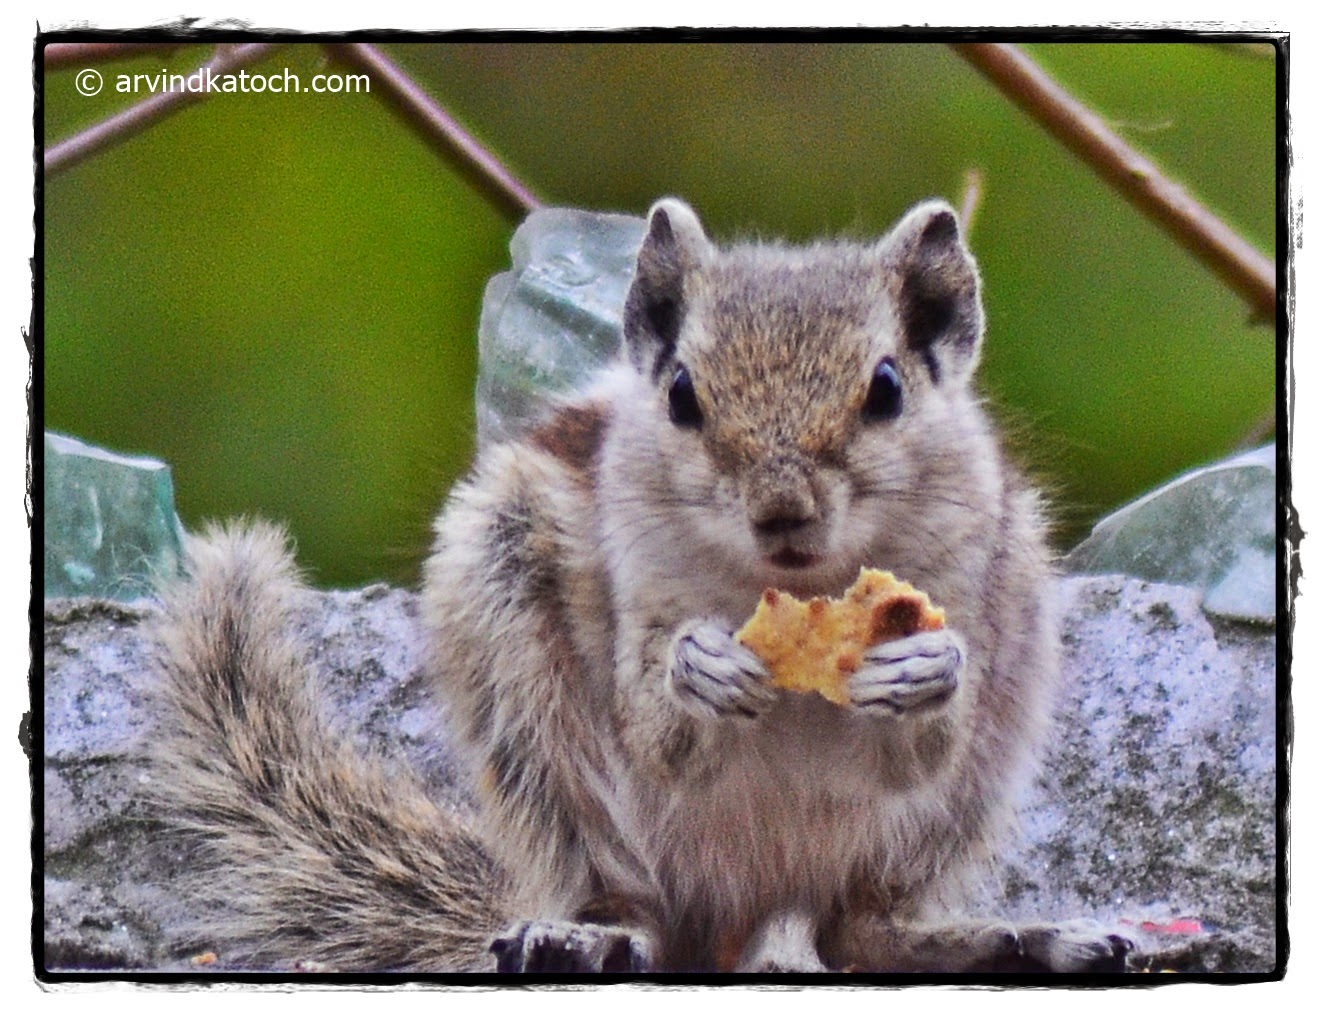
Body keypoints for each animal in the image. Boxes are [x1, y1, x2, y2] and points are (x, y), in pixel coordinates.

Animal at [147, 196, 1135, 972]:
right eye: (683, 395)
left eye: (888, 387)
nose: (782, 510)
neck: (798, 586)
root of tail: (748, 908)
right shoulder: (639, 581)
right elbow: (654, 727)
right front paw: (697, 667)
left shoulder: (966, 574)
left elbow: (923, 747)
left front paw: (925, 665)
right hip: (537, 725)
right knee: (640, 912)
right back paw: (589, 937)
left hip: (973, 776)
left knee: (860, 931)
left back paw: (1014, 937)